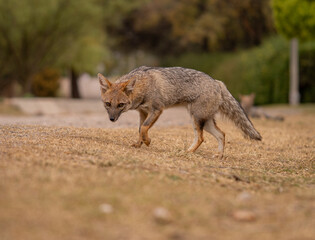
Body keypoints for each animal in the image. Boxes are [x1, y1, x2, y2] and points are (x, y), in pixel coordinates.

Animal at [98, 66, 262, 158]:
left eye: (120, 105)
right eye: (108, 104)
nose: (112, 119)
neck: (144, 85)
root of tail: (217, 82)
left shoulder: (157, 109)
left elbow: (144, 128)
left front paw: (147, 141)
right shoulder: (143, 112)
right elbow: (140, 129)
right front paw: (139, 144)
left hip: (196, 119)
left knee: (201, 138)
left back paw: (188, 152)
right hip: (205, 122)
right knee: (222, 134)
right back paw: (219, 155)